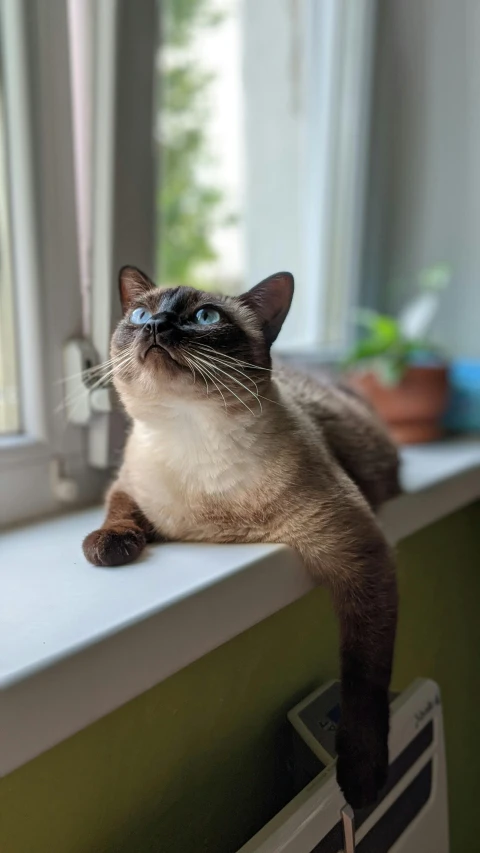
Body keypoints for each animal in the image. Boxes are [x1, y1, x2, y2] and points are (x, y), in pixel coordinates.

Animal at [84, 270, 400, 808]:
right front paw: (108, 547)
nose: (158, 325)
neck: (191, 437)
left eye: (204, 317)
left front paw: (361, 781)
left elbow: (362, 676)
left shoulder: (360, 554)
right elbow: (119, 511)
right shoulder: (127, 486)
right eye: (143, 314)